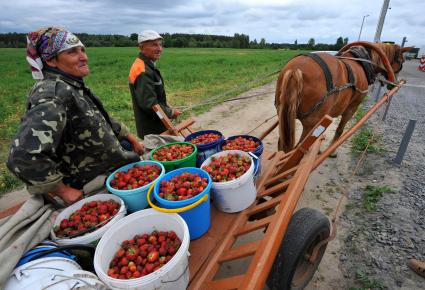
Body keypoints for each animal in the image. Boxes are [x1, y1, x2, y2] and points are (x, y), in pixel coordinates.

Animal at [274, 42, 410, 154]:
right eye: (401, 61)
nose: (394, 83)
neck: (361, 62)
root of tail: (296, 70)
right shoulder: (352, 107)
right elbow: (340, 129)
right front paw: (331, 150)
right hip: (311, 124)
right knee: (297, 149)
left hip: (284, 118)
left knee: (282, 147)